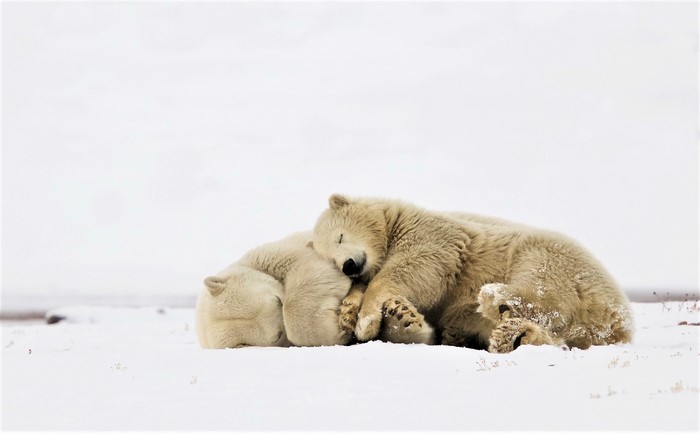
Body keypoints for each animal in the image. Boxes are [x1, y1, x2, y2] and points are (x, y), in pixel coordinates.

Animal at [195, 231, 435, 349]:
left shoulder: (274, 253)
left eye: (277, 300)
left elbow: (313, 265)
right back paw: (400, 320)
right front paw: (336, 330)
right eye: (277, 335)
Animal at [308, 194, 634, 353]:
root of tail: (619, 320)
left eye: (339, 236)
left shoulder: (433, 233)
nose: (349, 265)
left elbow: (421, 265)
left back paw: (496, 300)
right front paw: (352, 312)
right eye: (331, 262)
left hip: (555, 256)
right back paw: (511, 335)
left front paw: (367, 320)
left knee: (541, 281)